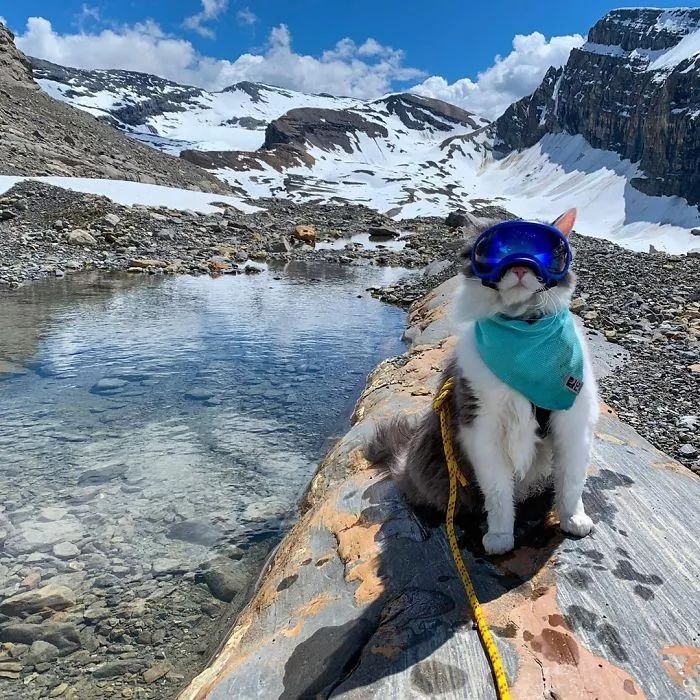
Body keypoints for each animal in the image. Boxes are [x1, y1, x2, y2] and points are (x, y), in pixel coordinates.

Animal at [364, 206, 600, 552]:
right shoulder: (480, 427)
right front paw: (500, 537)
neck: (525, 340)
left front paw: (574, 520)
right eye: (494, 251)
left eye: (541, 251)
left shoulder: (572, 422)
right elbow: (498, 494)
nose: (519, 266)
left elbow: (571, 484)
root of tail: (404, 455)